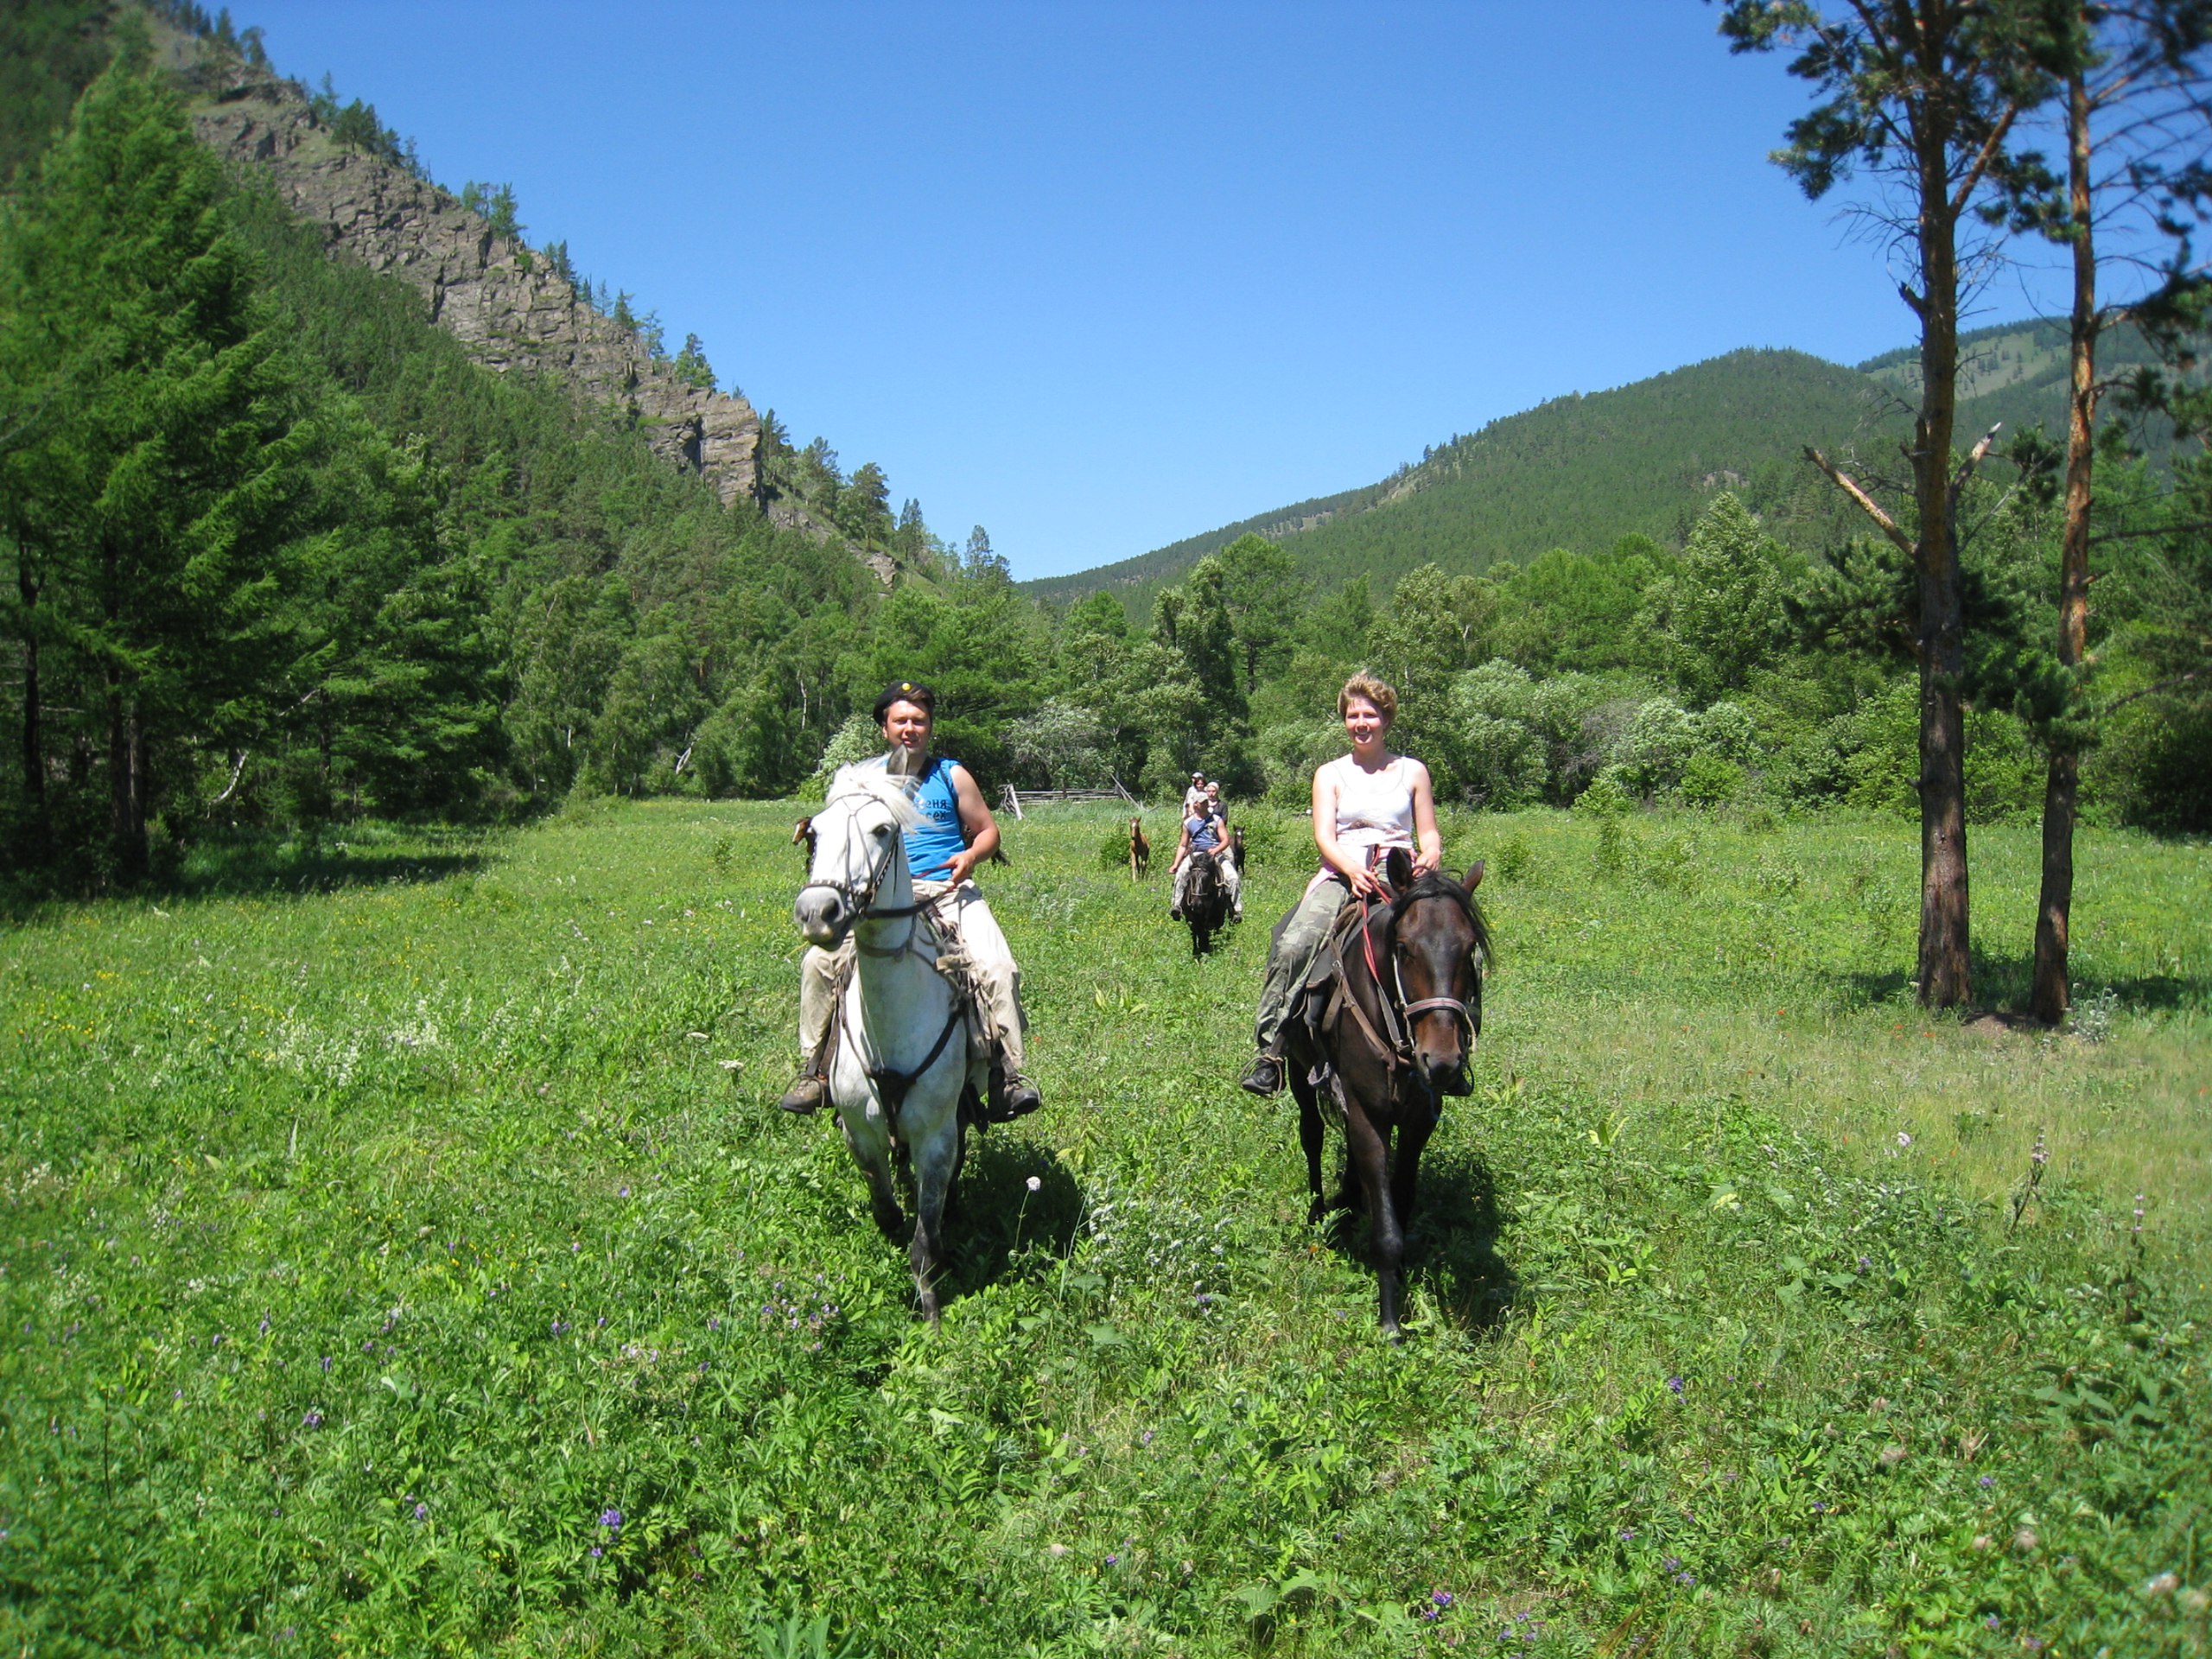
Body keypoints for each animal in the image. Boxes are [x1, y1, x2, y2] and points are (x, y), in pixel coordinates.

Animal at [796, 765, 969, 1327]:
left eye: (882, 830)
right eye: (814, 834)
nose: (818, 912)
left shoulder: (938, 1137)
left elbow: (925, 1231)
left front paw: (932, 1310)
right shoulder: (860, 1133)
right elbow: (888, 1211)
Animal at [1282, 849, 1486, 1344]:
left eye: (1469, 947)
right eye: (1405, 947)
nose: (1443, 1062)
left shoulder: (1418, 1119)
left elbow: (1403, 1198)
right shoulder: (1367, 1114)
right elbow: (1387, 1228)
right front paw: (1391, 1322)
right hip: (1299, 1074)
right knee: (1312, 1137)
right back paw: (1319, 1212)